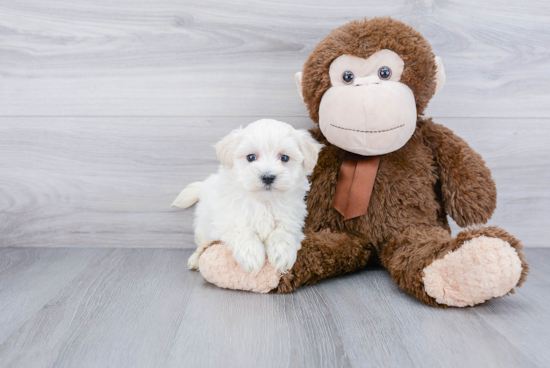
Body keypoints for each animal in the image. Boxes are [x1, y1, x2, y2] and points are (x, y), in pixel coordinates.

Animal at [174, 119, 324, 274]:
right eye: (251, 157)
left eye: (284, 158)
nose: (268, 177)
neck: (264, 202)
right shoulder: (228, 220)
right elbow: (243, 232)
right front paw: (252, 255)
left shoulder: (292, 220)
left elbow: (282, 232)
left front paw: (281, 254)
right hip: (203, 224)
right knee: (202, 242)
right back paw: (195, 259)